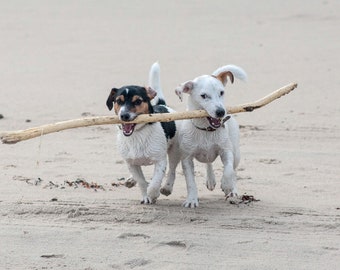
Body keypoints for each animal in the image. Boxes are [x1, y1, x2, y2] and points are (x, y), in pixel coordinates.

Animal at [160, 64, 247, 208]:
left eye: (222, 92)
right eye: (203, 96)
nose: (221, 112)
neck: (207, 130)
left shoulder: (226, 151)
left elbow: (228, 170)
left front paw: (226, 185)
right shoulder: (187, 159)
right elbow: (190, 182)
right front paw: (191, 200)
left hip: (236, 152)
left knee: (233, 170)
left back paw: (232, 190)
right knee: (208, 162)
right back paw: (210, 180)